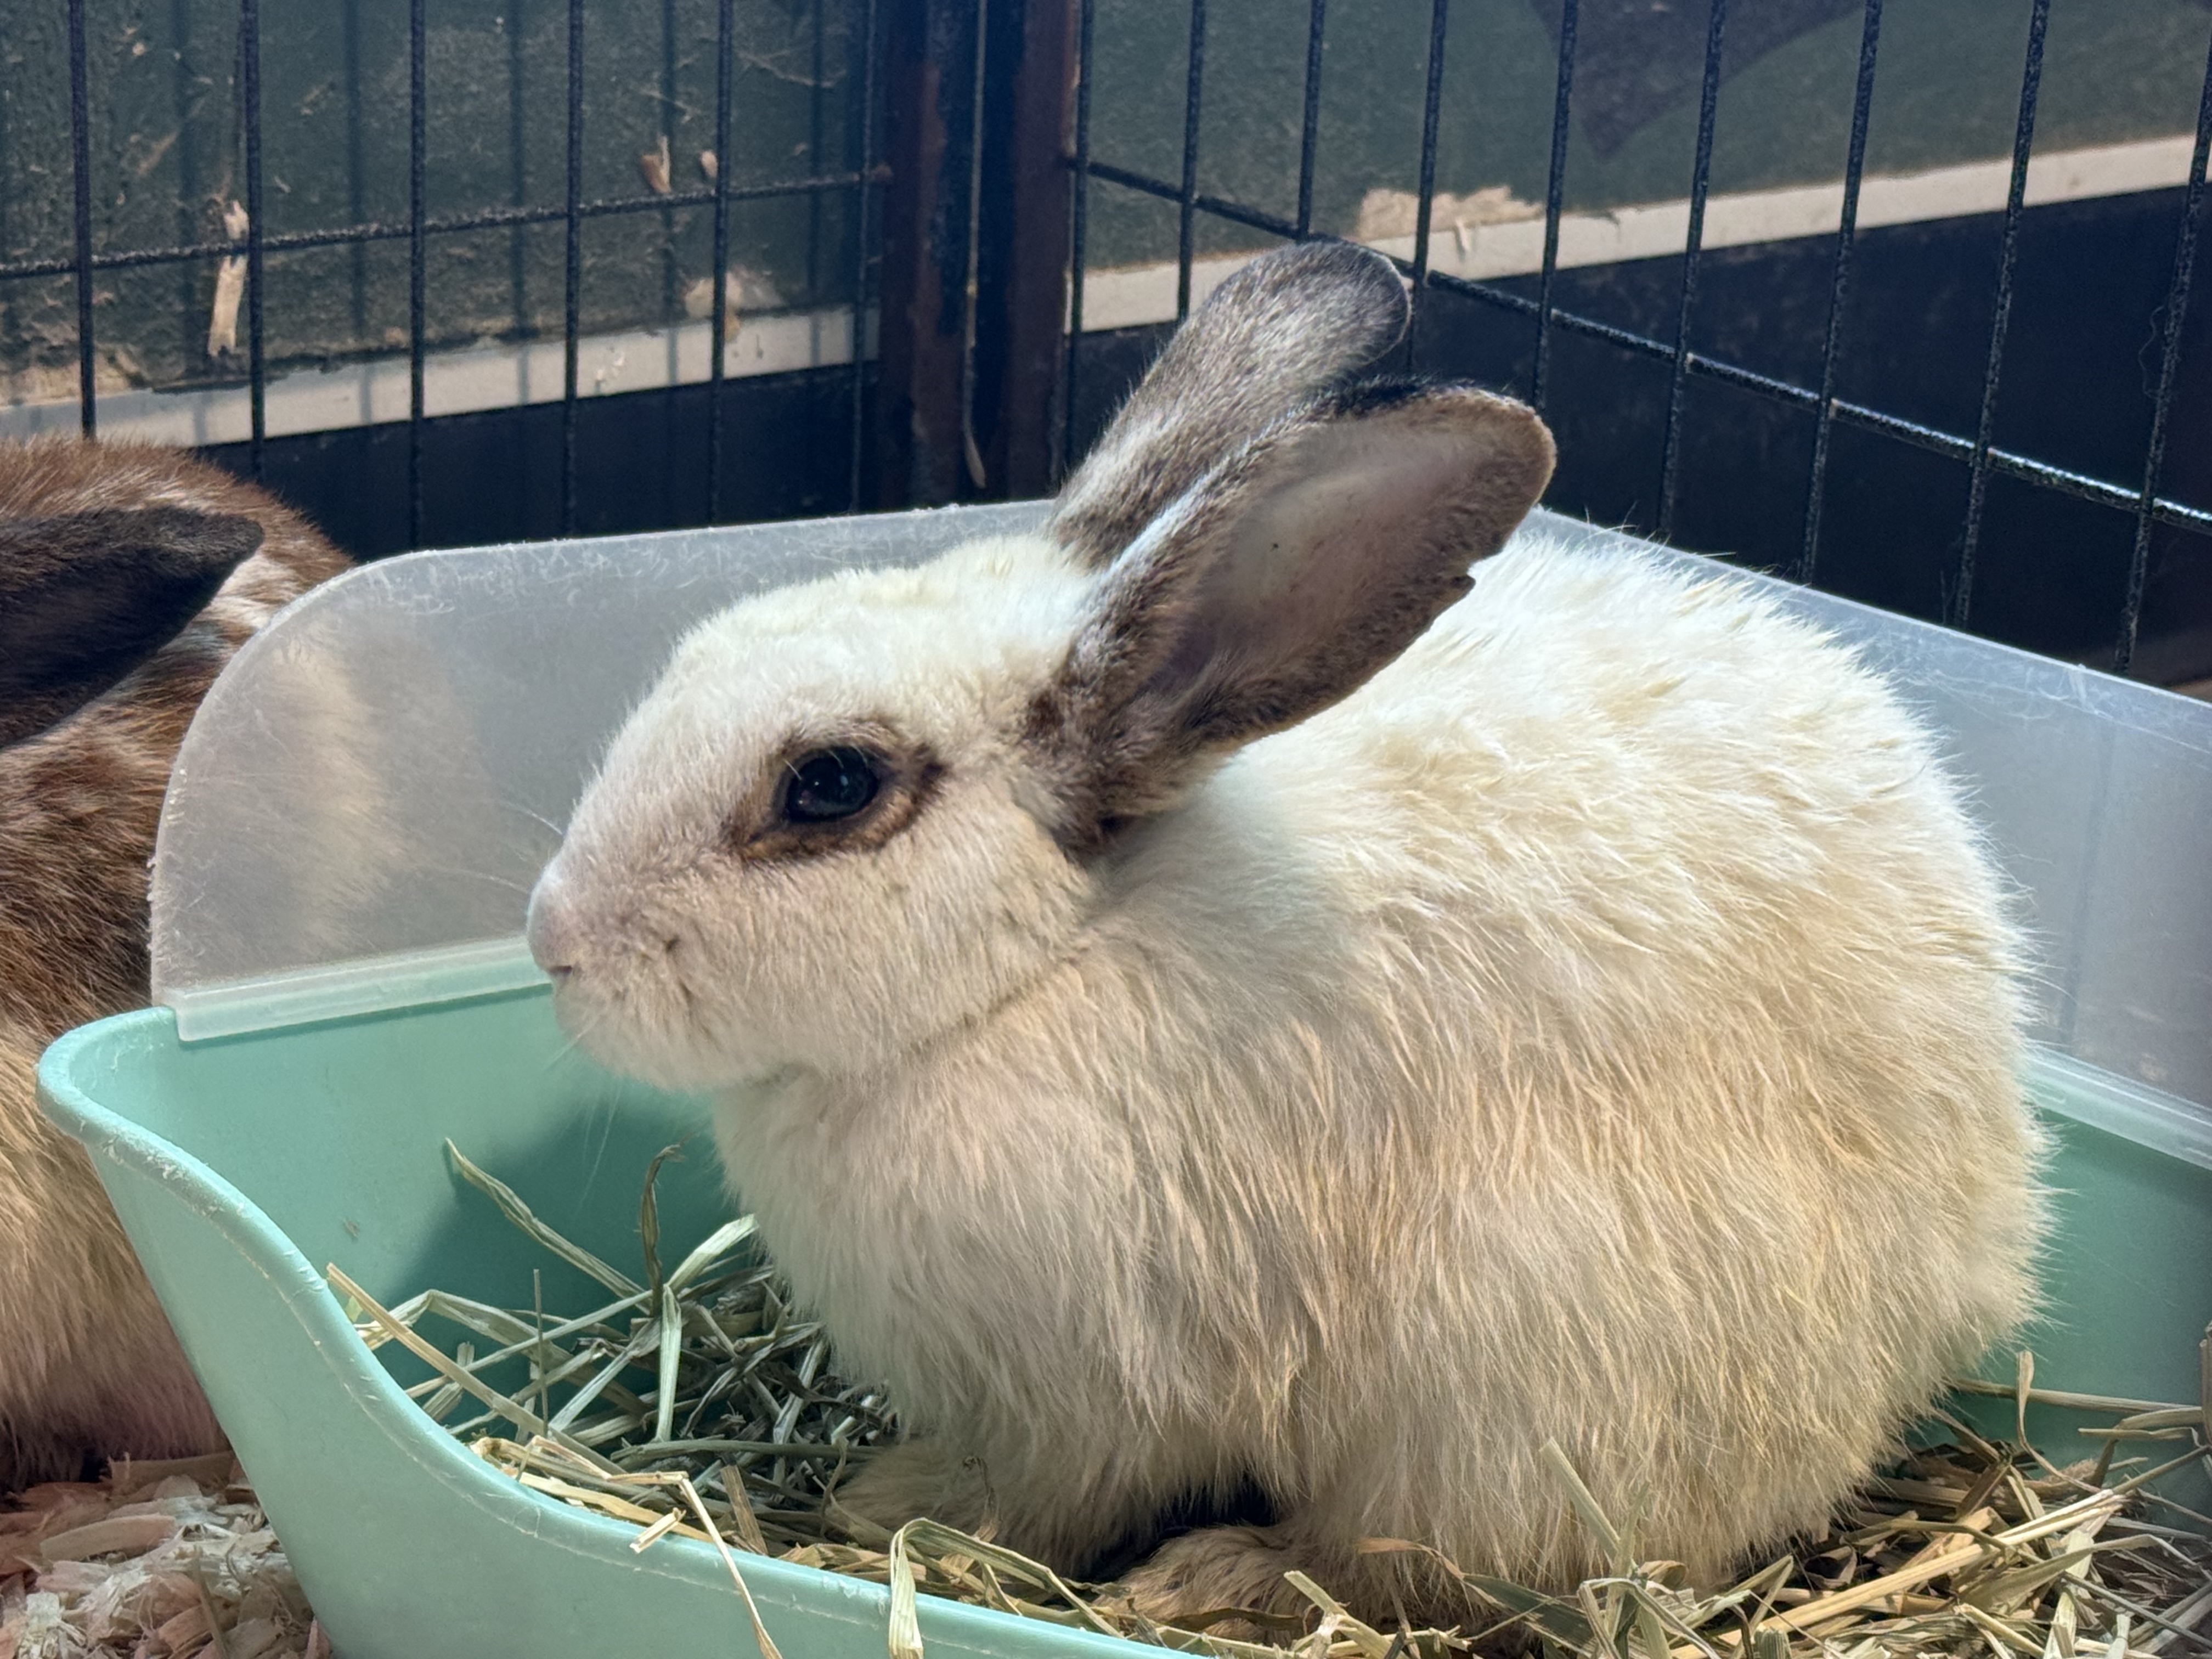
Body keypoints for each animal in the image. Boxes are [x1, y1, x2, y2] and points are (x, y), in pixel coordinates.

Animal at [524, 240, 2043, 1626]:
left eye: (830, 785)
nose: (553, 943)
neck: (1031, 976)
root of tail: (1976, 1261)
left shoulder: (1096, 1397)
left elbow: (1047, 1498)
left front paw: (904, 1515)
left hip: (1498, 1409)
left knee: (1399, 1566)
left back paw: (1213, 1579)